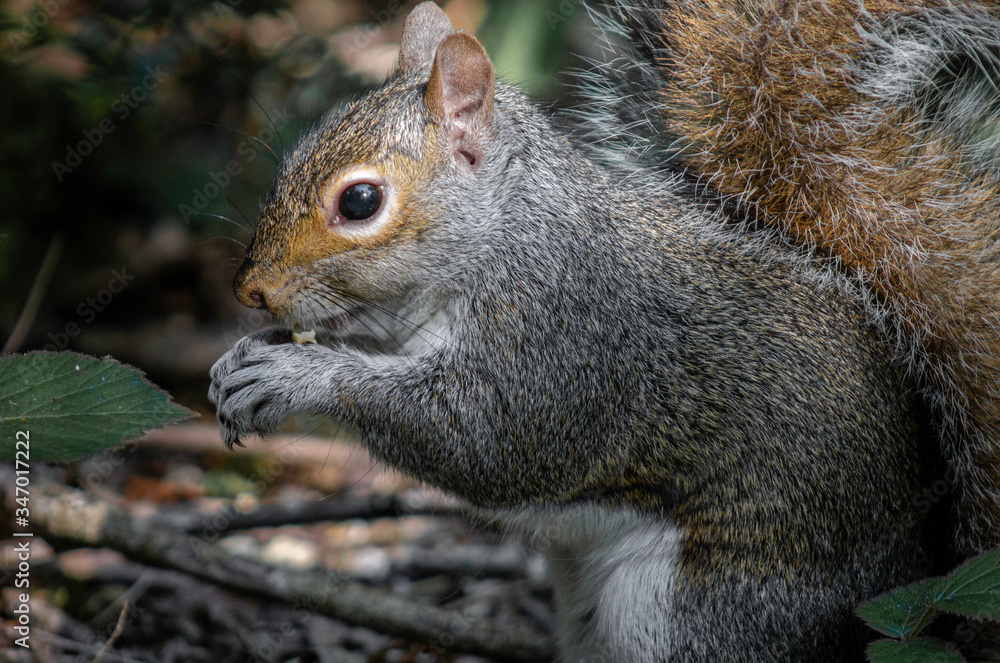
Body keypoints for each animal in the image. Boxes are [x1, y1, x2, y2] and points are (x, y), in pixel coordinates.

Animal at [208, 1, 1000, 660]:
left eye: (360, 202)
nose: (250, 290)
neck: (504, 238)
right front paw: (241, 362)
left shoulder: (570, 338)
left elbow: (483, 440)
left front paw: (296, 377)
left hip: (704, 613)